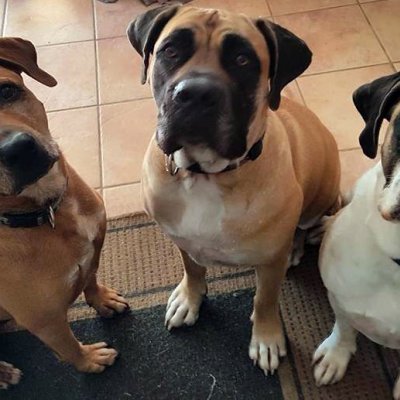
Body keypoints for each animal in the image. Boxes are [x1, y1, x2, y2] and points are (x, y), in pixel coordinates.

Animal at [0, 37, 129, 388]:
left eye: (6, 91)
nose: (16, 150)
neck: (48, 211)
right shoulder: (44, 320)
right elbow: (68, 346)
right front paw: (90, 361)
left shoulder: (94, 250)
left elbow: (91, 279)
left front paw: (103, 300)